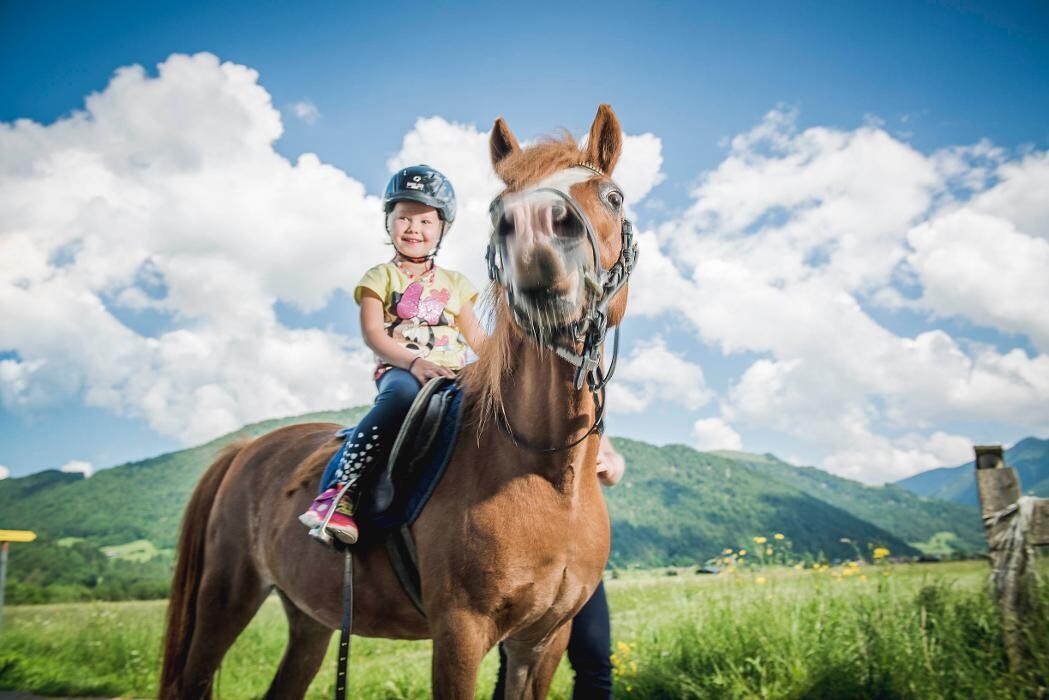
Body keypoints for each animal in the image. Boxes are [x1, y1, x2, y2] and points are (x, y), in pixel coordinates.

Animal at [155, 105, 629, 700]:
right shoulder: (460, 632)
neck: (543, 471)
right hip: (225, 599)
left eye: (612, 196)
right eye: (499, 210)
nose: (535, 236)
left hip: (310, 617)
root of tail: (244, 450)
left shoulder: (543, 641)